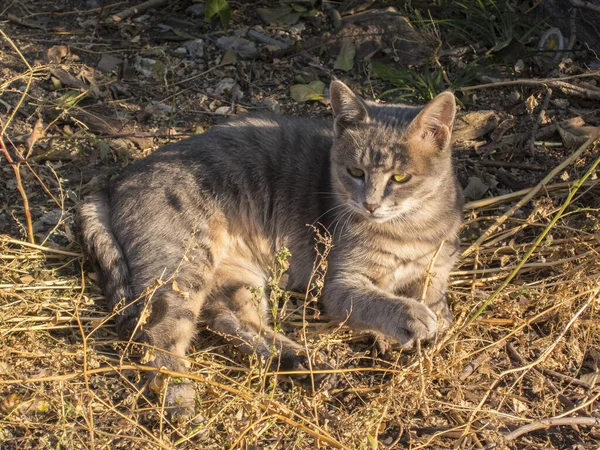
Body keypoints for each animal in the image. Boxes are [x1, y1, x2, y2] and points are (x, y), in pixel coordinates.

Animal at [79, 80, 464, 418]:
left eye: (400, 178)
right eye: (354, 171)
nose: (369, 204)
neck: (412, 229)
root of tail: (113, 184)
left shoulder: (436, 269)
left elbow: (435, 297)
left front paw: (431, 319)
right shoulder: (340, 283)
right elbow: (378, 301)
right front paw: (410, 318)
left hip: (237, 279)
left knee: (234, 323)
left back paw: (303, 365)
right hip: (184, 270)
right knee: (157, 338)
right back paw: (179, 395)